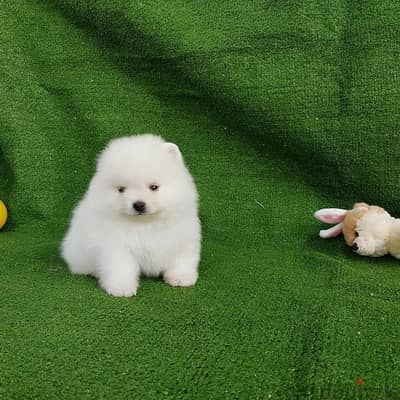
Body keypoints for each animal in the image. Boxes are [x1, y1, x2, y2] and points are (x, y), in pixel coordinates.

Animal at [61, 134, 202, 296]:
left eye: (154, 187)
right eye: (121, 189)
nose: (138, 204)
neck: (147, 224)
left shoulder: (183, 239)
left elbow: (182, 260)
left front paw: (181, 278)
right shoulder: (117, 247)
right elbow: (121, 267)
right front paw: (121, 287)